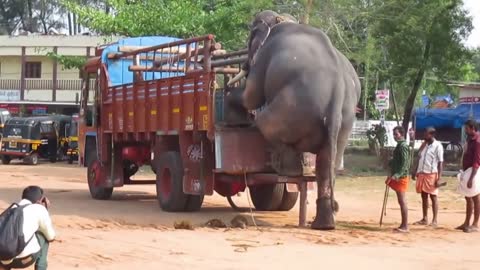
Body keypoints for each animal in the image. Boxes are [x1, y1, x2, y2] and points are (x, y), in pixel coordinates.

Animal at [228, 10, 360, 230]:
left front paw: (230, 96)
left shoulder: (265, 55)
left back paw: (288, 168)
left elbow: (252, 96)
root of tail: (337, 91)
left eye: (251, 37)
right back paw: (324, 224)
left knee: (265, 123)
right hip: (345, 122)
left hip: (292, 107)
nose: (244, 64)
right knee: (327, 164)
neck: (282, 20)